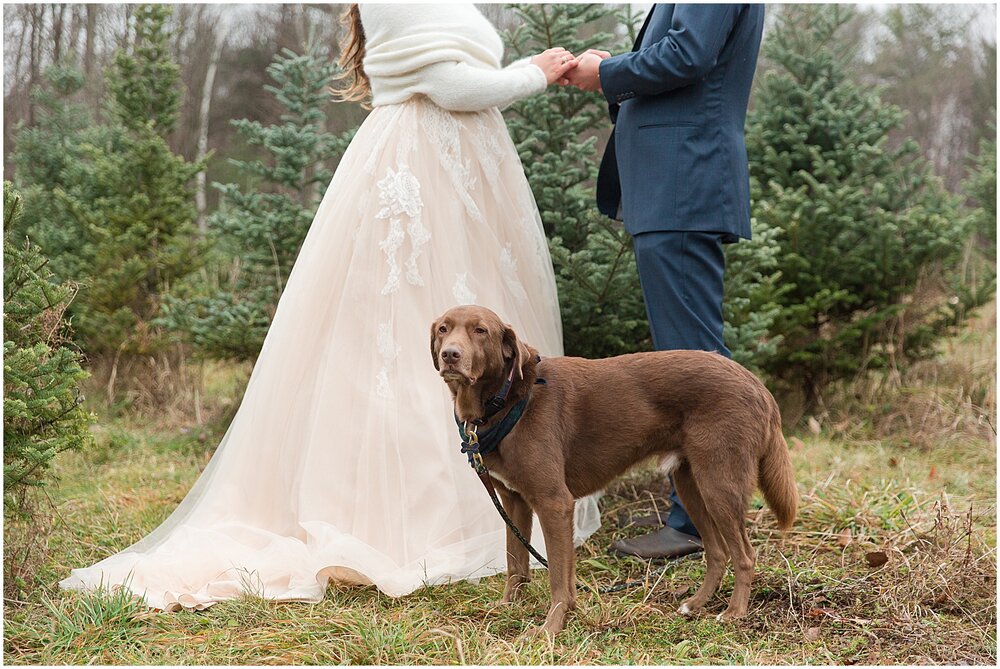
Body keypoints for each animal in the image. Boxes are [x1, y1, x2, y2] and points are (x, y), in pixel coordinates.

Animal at [430, 306, 796, 636]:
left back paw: (734, 613)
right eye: (443, 329)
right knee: (717, 552)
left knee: (745, 554)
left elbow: (557, 576)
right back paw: (695, 604)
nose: (450, 355)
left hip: (719, 484)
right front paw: (508, 609)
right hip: (691, 483)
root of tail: (756, 384)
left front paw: (550, 628)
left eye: (481, 331)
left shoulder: (554, 503)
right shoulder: (515, 502)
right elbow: (516, 564)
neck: (507, 400)